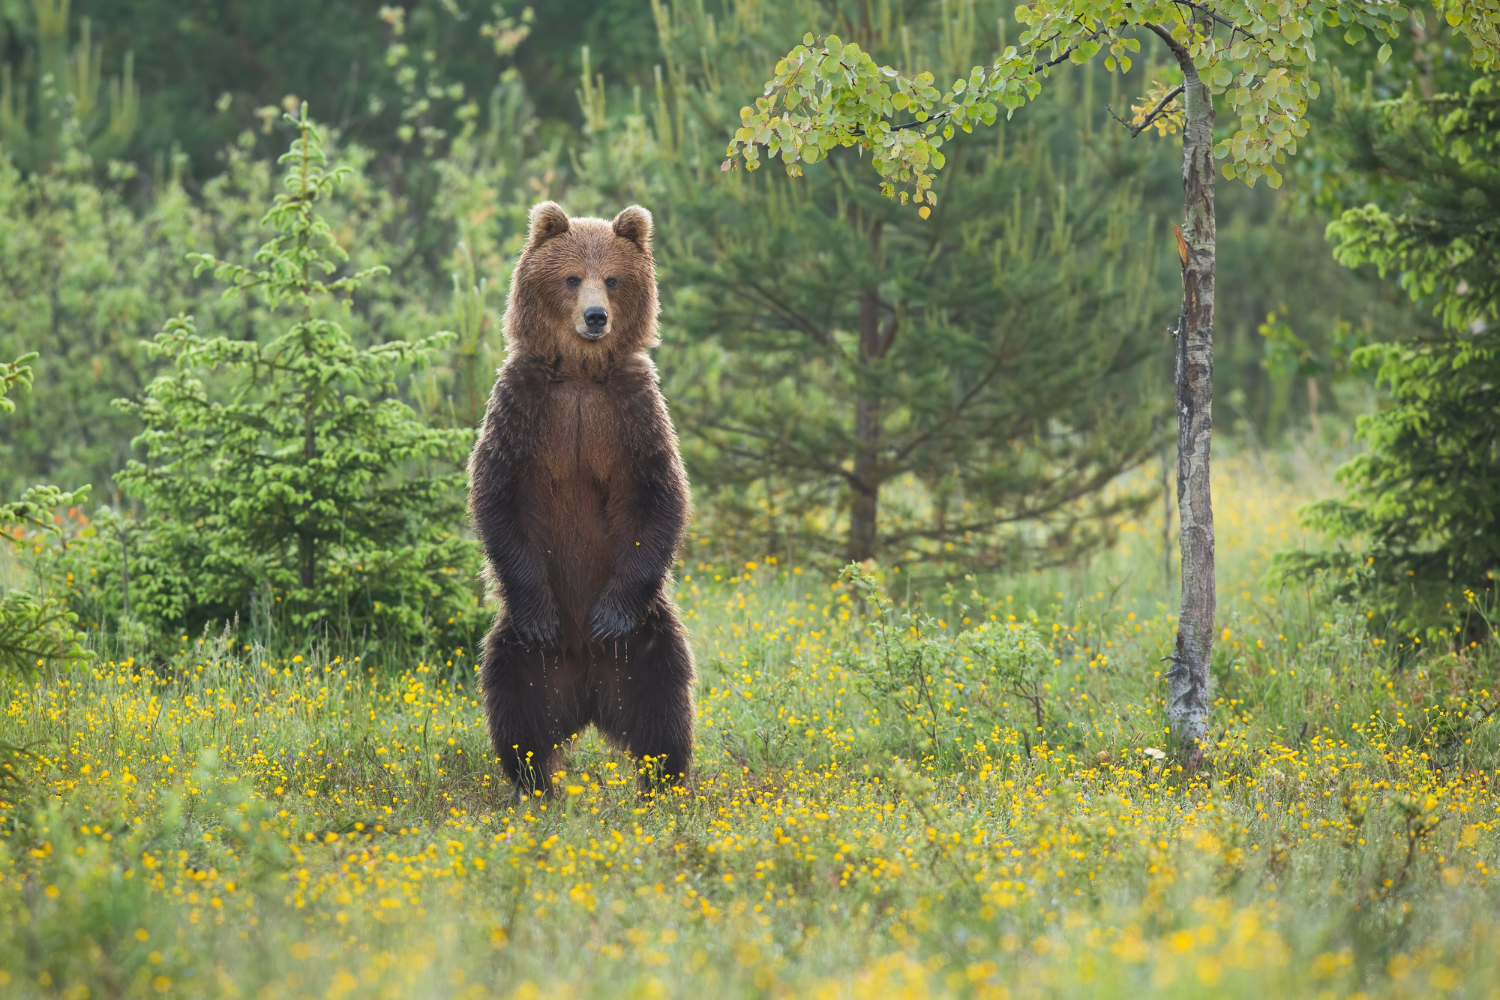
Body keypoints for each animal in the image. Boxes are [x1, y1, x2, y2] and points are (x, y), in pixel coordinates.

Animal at [468, 203, 696, 797]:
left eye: (612, 279)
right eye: (572, 278)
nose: (595, 317)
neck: (579, 373)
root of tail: (589, 694)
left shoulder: (632, 412)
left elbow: (664, 496)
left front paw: (610, 616)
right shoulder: (522, 408)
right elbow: (495, 495)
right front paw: (543, 616)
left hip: (647, 638)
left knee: (665, 703)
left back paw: (664, 785)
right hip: (522, 650)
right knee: (515, 705)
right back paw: (534, 784)